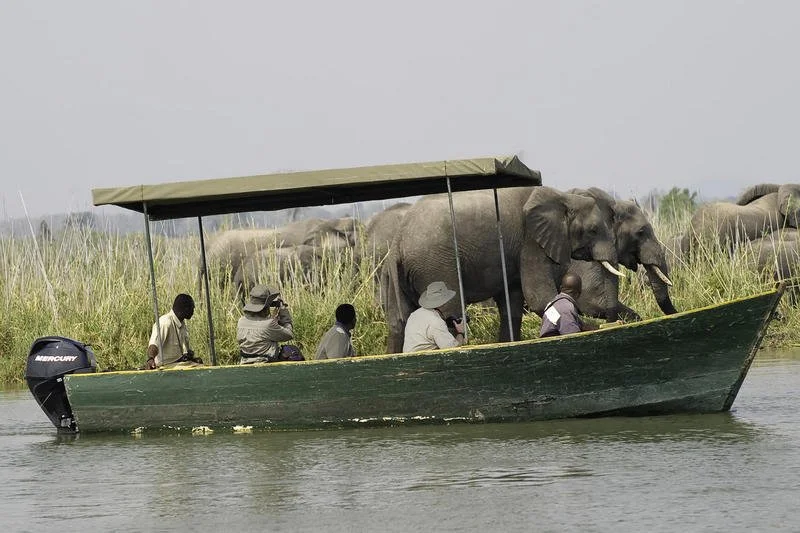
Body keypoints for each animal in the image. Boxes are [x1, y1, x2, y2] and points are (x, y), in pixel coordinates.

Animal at [381, 186, 623, 352]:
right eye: (593, 230)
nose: (614, 322)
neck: (562, 196)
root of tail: (397, 241)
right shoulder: (530, 241)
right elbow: (539, 298)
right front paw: (592, 327)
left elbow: (512, 303)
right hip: (436, 265)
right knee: (450, 311)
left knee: (398, 321)